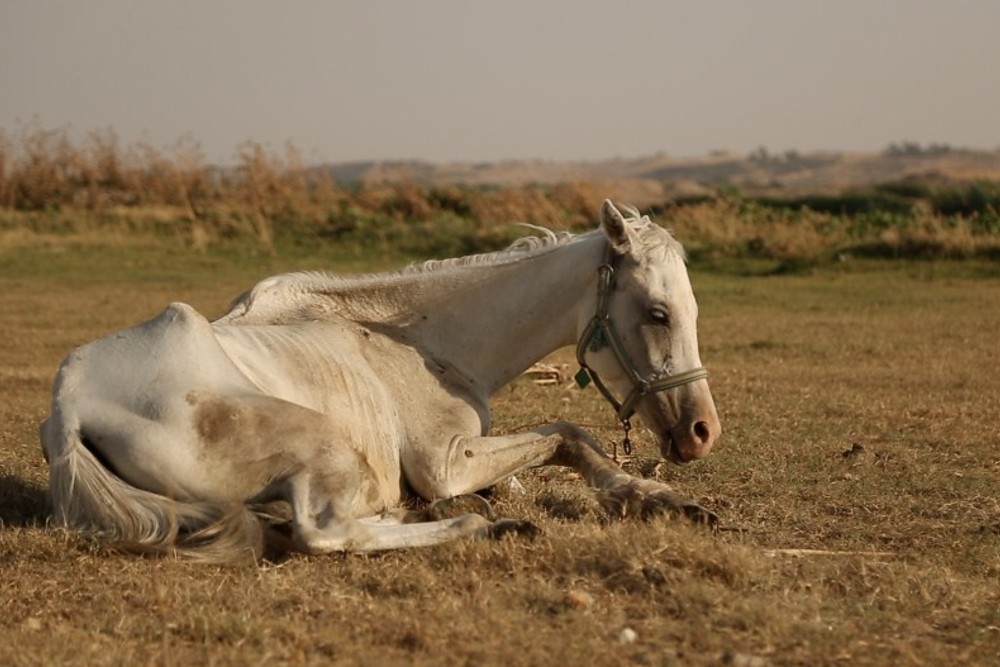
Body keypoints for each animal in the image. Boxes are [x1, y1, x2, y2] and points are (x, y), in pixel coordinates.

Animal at [41, 200, 720, 564]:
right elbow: (567, 434)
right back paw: (483, 527)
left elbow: (550, 457)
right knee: (323, 532)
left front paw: (658, 497)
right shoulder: (448, 461)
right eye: (658, 313)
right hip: (323, 445)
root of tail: (70, 407)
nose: (701, 432)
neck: (423, 345)